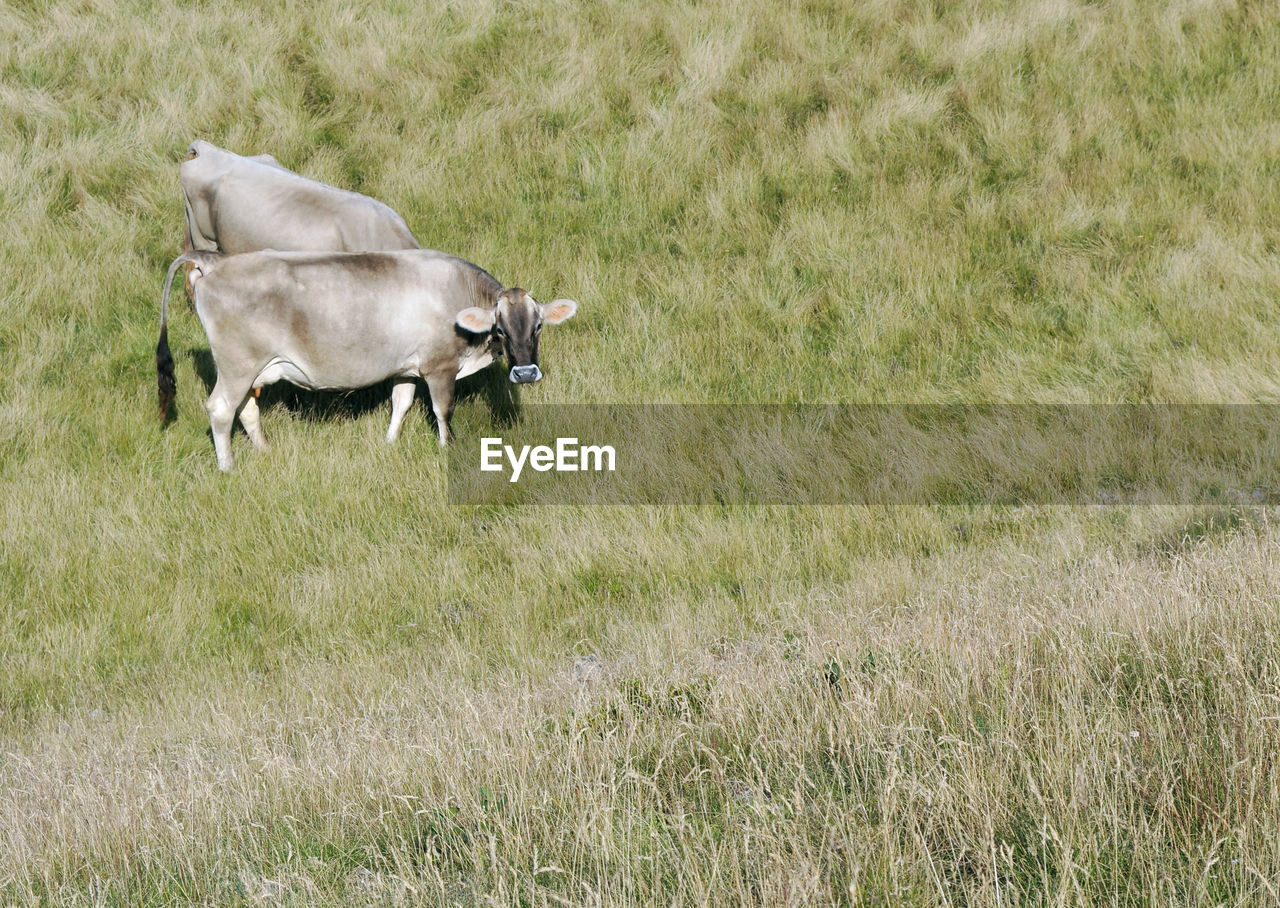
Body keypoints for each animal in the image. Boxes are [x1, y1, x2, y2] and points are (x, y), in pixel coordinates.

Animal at [156, 249, 581, 473]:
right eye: (501, 330)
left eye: (538, 326)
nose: (525, 372)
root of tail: (216, 262)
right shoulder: (439, 366)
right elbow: (442, 410)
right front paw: (447, 448)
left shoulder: (405, 367)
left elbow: (402, 403)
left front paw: (390, 442)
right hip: (237, 365)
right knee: (220, 409)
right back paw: (227, 466)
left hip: (251, 369)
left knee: (246, 409)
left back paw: (265, 451)